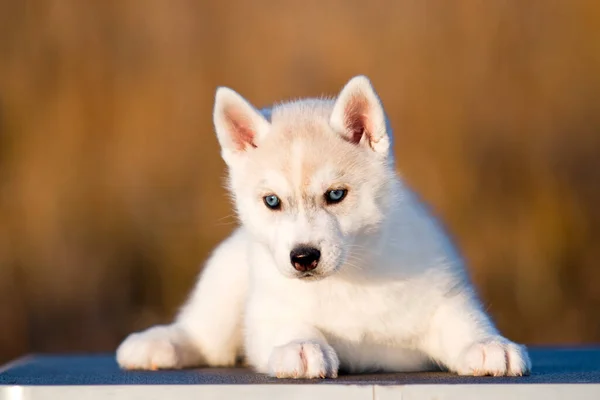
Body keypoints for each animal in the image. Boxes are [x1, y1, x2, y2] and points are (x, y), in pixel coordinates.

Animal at [116, 75, 528, 378]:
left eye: (335, 195)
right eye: (272, 202)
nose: (303, 258)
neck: (349, 280)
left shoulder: (441, 292)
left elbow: (463, 318)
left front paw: (488, 345)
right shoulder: (268, 307)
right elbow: (290, 322)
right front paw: (301, 346)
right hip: (226, 281)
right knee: (202, 333)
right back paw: (157, 344)